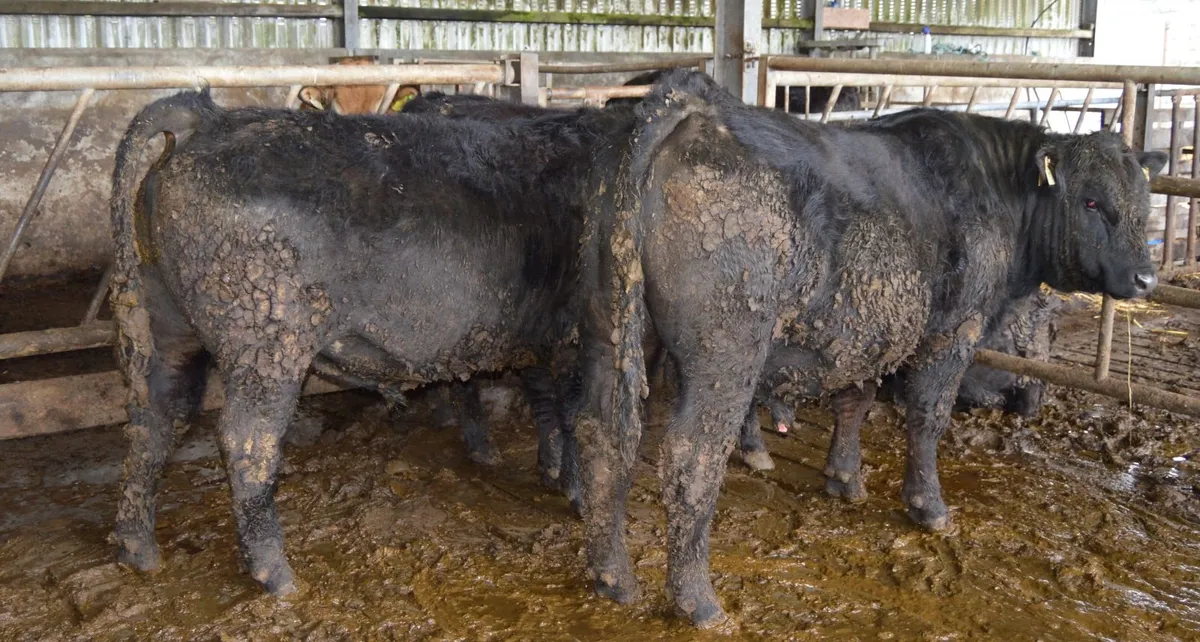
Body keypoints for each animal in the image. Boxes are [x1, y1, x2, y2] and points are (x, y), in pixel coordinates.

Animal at [107, 89, 635, 595]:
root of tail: (207, 116)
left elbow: (549, 405)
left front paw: (550, 474)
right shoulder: (575, 333)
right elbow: (573, 416)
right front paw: (574, 494)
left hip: (166, 321)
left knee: (155, 417)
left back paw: (139, 550)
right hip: (265, 341)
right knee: (245, 439)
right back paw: (277, 577)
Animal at [573, 69, 1164, 627]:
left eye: (1144, 202)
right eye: (1091, 201)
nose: (1145, 277)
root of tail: (688, 107)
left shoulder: (867, 328)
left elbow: (853, 401)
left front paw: (844, 477)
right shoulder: (952, 330)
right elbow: (927, 416)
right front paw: (928, 505)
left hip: (609, 330)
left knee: (603, 439)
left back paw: (613, 576)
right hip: (725, 351)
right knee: (690, 456)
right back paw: (697, 600)